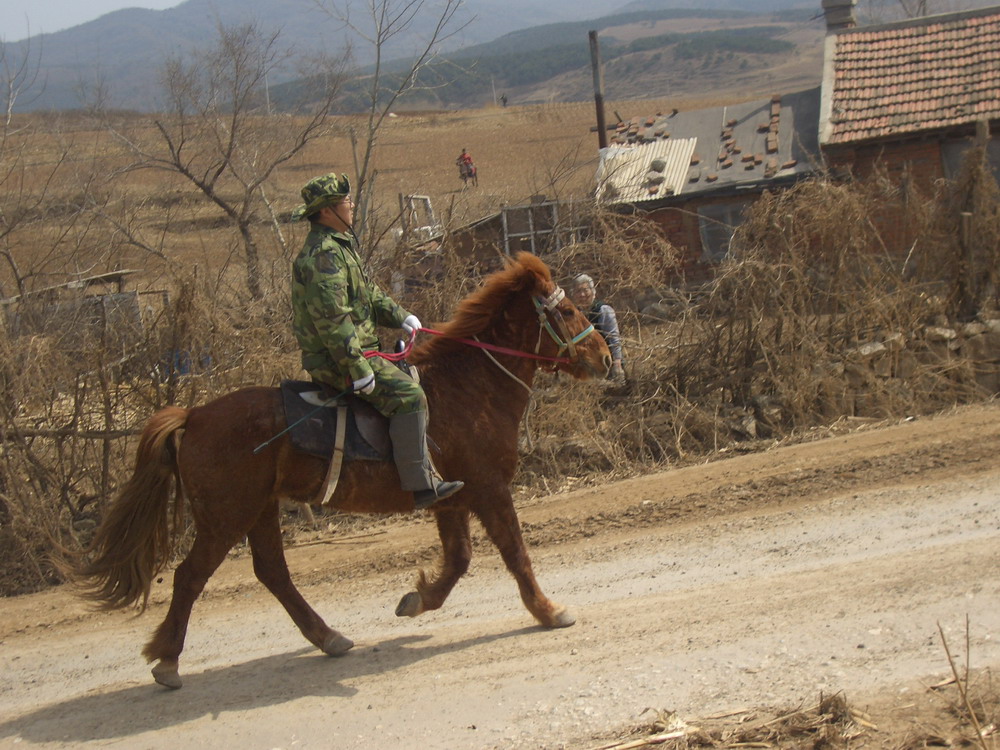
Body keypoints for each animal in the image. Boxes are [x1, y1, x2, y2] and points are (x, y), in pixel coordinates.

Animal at [70, 254, 612, 692]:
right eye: (567, 311)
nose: (605, 356)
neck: (470, 388)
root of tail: (195, 415)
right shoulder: (490, 490)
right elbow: (516, 554)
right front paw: (547, 611)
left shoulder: (451, 498)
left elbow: (458, 561)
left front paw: (418, 599)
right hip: (226, 518)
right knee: (189, 577)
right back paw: (167, 660)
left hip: (260, 511)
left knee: (273, 574)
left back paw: (327, 637)